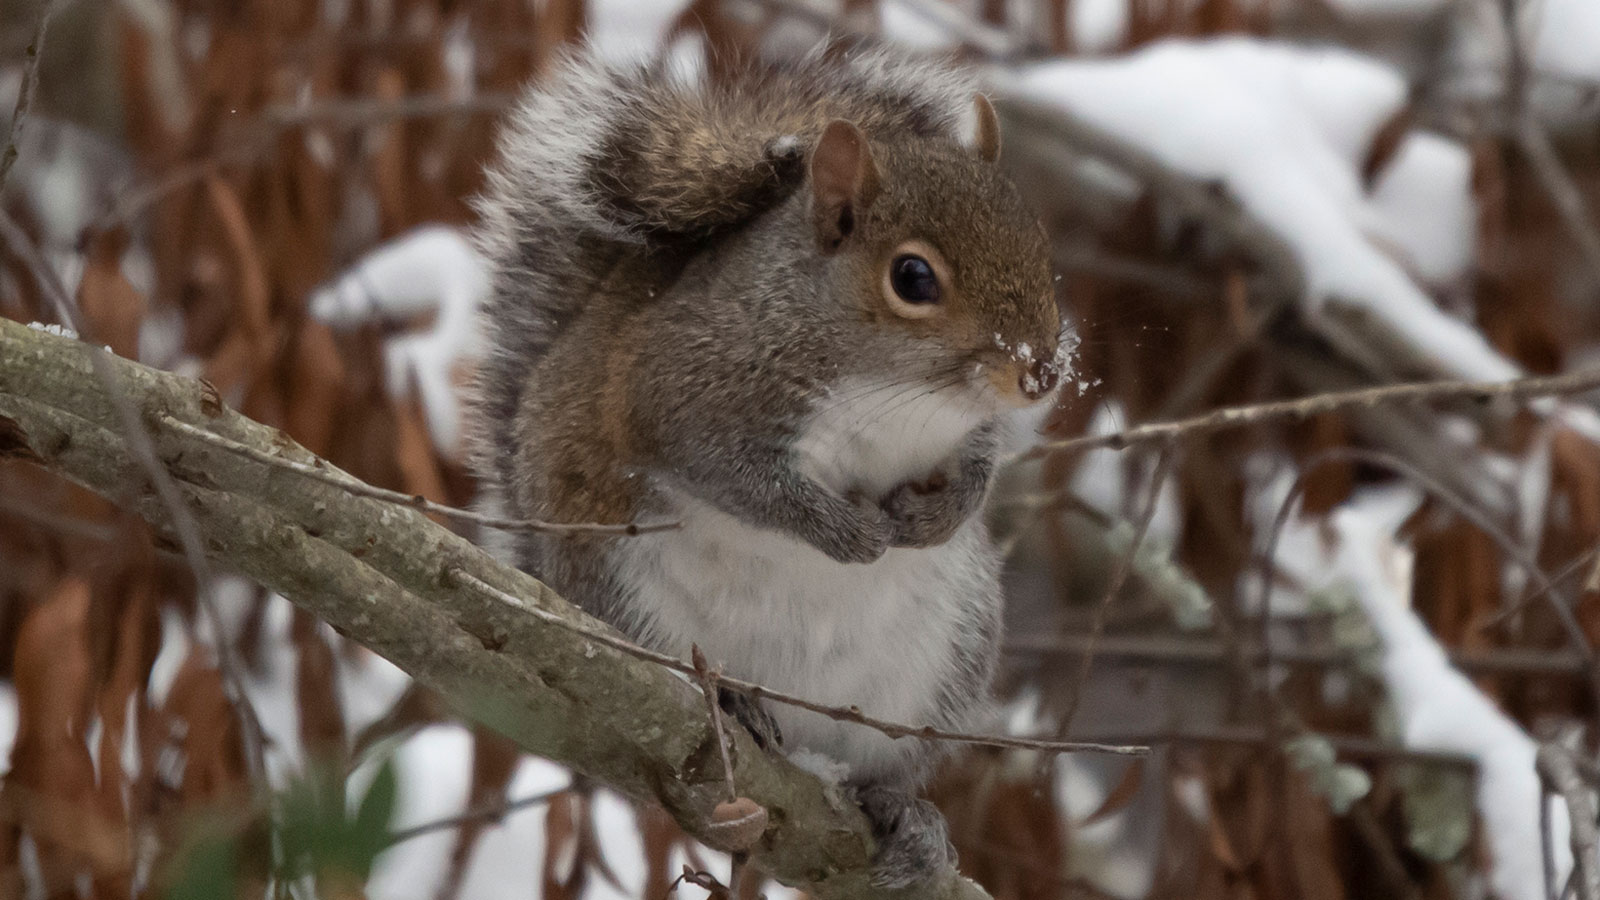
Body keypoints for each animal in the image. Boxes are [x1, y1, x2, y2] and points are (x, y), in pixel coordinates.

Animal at [467, 40, 1068, 883]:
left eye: (1038, 245)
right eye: (913, 277)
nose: (1041, 373)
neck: (893, 389)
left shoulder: (965, 427)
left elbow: (978, 465)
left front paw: (939, 514)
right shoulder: (685, 392)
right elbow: (741, 481)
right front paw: (844, 532)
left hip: (942, 665)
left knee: (880, 767)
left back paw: (904, 815)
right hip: (625, 607)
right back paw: (734, 704)